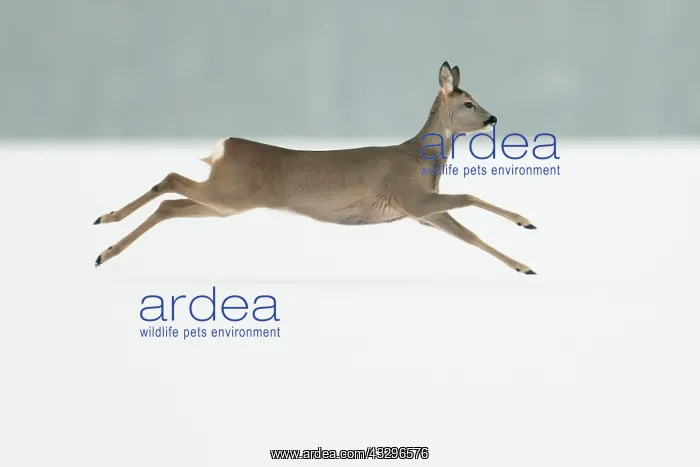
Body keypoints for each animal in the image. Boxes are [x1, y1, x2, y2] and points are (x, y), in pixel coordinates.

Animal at [93, 61, 537, 274]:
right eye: (468, 103)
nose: (492, 118)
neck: (420, 161)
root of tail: (223, 148)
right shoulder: (411, 198)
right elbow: (471, 196)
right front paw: (525, 223)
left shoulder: (421, 212)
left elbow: (470, 236)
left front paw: (523, 265)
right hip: (229, 194)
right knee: (169, 180)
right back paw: (105, 232)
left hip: (223, 203)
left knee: (170, 203)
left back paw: (104, 239)